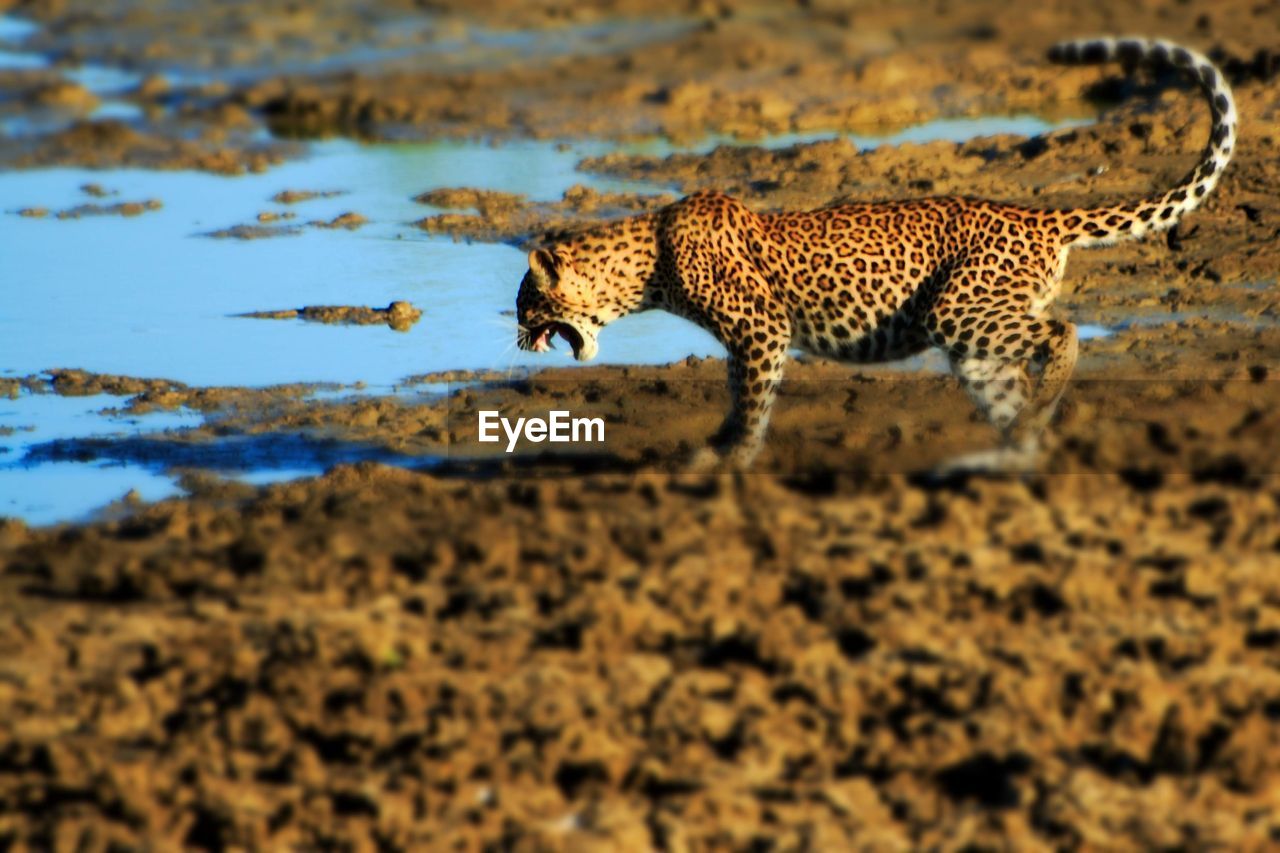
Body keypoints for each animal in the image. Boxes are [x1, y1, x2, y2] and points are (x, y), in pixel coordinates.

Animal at [514, 36, 1233, 468]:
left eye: (526, 306)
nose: (519, 338)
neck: (649, 263)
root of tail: (1033, 212)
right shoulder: (749, 337)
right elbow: (737, 392)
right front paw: (719, 447)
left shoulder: (760, 329)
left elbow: (751, 399)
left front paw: (734, 460)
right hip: (973, 344)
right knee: (1011, 393)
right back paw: (1006, 450)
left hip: (960, 311)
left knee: (1064, 330)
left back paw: (1038, 412)